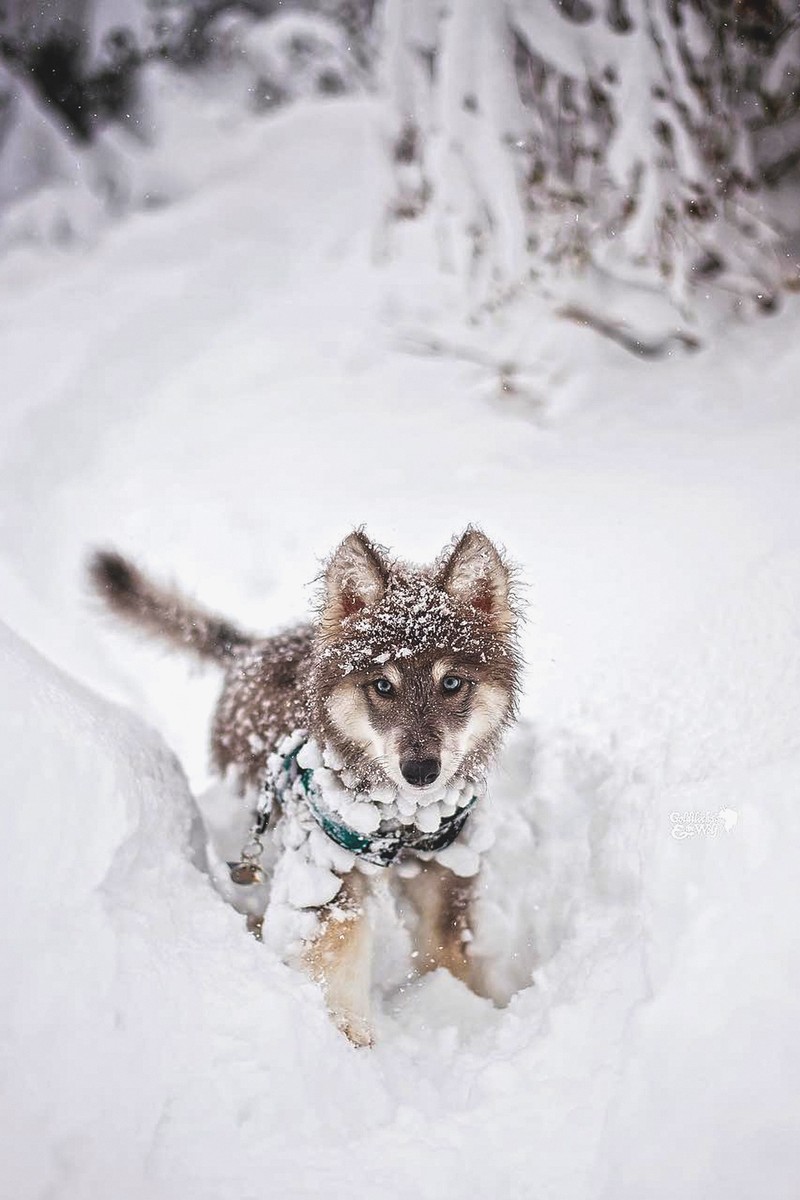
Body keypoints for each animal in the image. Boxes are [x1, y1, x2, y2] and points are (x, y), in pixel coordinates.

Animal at [90, 530, 522, 1046]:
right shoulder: (325, 865)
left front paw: (455, 1007)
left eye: (452, 682)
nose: (421, 770)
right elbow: (338, 946)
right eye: (382, 686)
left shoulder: (446, 863)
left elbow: (447, 948)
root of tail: (250, 649)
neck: (400, 819)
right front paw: (349, 1035)